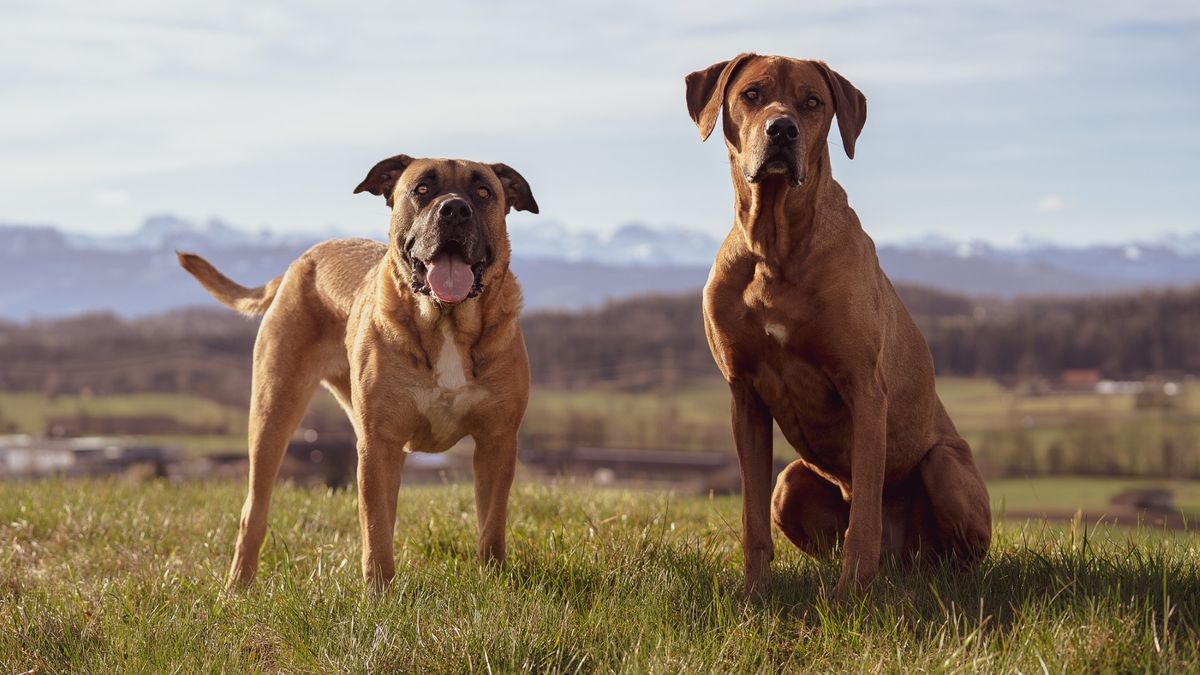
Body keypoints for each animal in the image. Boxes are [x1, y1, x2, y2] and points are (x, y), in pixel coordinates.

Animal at [176, 154, 535, 586]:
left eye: (483, 192)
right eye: (422, 189)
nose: (454, 210)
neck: (445, 322)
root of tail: (299, 263)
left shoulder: (497, 440)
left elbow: (491, 524)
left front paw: (494, 580)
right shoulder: (379, 442)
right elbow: (376, 529)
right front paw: (379, 592)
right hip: (272, 411)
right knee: (254, 510)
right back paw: (237, 587)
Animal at [691, 56, 988, 593]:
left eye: (813, 102)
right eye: (751, 94)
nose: (782, 129)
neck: (775, 245)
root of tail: (904, 560)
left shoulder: (865, 388)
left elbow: (865, 514)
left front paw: (852, 594)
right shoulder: (744, 395)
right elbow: (751, 519)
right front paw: (752, 594)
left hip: (944, 466)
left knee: (957, 553)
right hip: (790, 481)